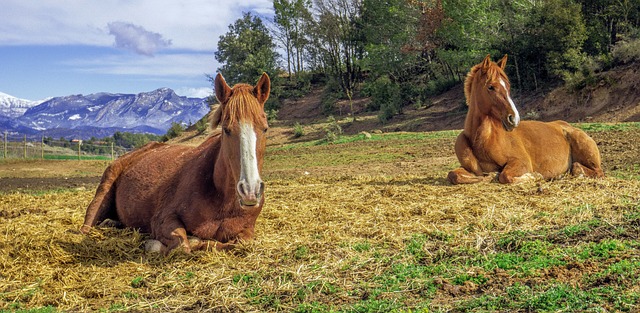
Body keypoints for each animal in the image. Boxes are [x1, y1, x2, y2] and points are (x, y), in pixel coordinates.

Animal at [80, 72, 270, 252]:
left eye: (265, 128)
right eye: (226, 129)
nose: (250, 191)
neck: (222, 200)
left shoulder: (246, 231)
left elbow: (239, 243)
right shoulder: (164, 219)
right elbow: (182, 245)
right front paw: (155, 244)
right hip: (103, 191)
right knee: (88, 224)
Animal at [448, 54, 604, 184]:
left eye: (508, 86)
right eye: (490, 87)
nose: (514, 119)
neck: (483, 140)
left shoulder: (521, 162)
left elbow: (505, 176)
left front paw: (534, 176)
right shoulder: (469, 168)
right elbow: (454, 175)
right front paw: (490, 175)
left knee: (592, 171)